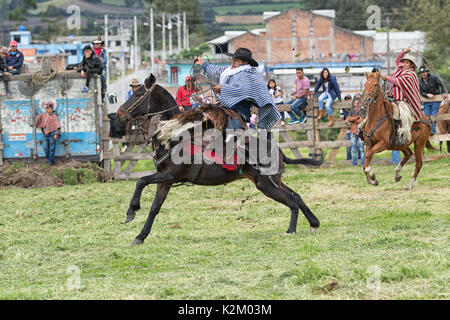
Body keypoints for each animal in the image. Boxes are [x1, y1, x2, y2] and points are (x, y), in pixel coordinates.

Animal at [112, 72, 324, 245]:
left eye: (138, 94)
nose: (119, 114)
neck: (174, 137)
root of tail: (277, 149)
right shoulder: (165, 181)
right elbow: (154, 208)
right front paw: (140, 236)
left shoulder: (170, 175)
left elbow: (141, 181)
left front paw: (131, 211)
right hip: (274, 181)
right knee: (296, 196)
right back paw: (314, 223)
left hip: (265, 184)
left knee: (292, 200)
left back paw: (291, 231)